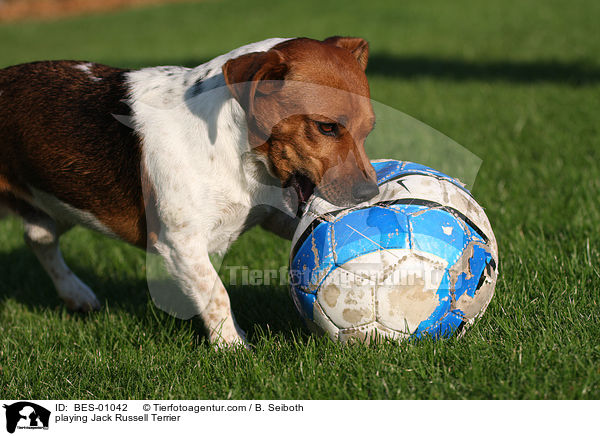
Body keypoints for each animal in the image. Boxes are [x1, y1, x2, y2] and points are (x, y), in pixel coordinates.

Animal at [0, 36, 376, 348]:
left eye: (369, 129)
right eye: (326, 127)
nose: (370, 192)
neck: (240, 153)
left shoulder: (275, 213)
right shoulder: (179, 243)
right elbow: (216, 293)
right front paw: (233, 347)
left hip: (63, 202)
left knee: (39, 238)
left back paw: (76, 293)